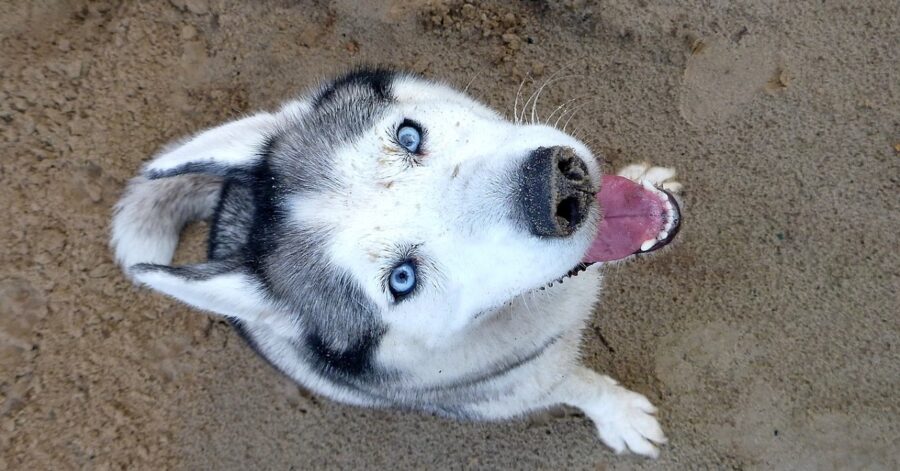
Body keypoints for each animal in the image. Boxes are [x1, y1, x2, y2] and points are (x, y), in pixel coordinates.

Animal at [109, 68, 680, 460]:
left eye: (408, 135)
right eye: (403, 280)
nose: (559, 189)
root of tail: (233, 208)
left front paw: (642, 177)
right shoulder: (525, 384)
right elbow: (580, 385)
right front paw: (620, 416)